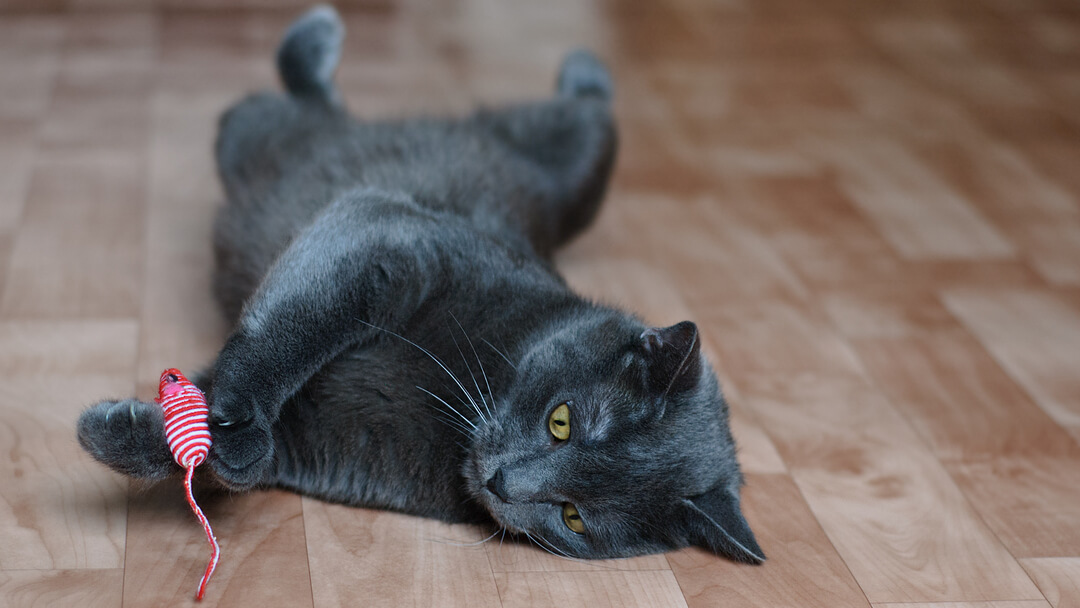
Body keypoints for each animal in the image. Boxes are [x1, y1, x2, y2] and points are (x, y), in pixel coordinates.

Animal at [78, 5, 768, 565]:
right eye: (562, 421)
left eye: (574, 516)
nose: (502, 485)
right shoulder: (389, 236)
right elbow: (289, 332)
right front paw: (225, 411)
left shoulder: (331, 444)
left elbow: (243, 464)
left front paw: (124, 430)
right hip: (580, 157)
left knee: (277, 106)